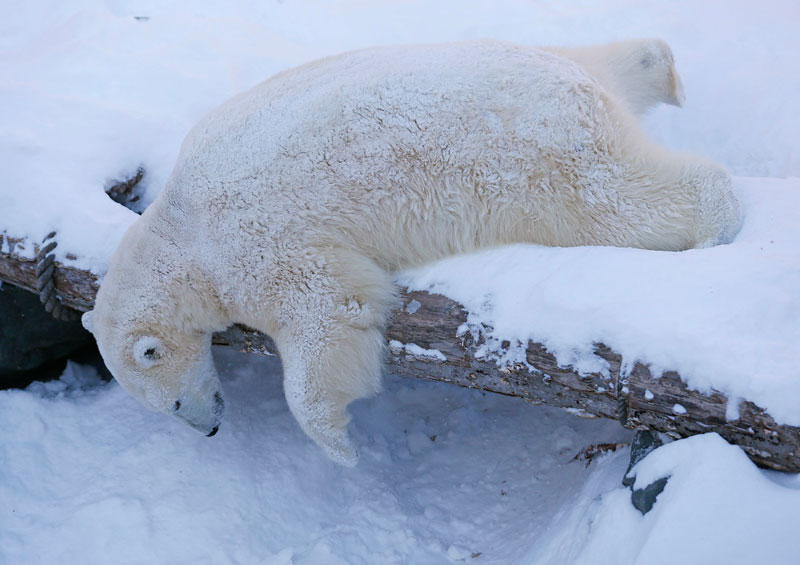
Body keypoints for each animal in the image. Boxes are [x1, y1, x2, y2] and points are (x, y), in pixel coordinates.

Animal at [81, 39, 741, 466]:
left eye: (171, 401)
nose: (211, 428)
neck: (178, 230)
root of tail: (578, 83)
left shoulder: (254, 245)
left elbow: (328, 311)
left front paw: (340, 447)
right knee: (626, 62)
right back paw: (662, 70)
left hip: (535, 156)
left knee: (612, 200)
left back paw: (716, 224)